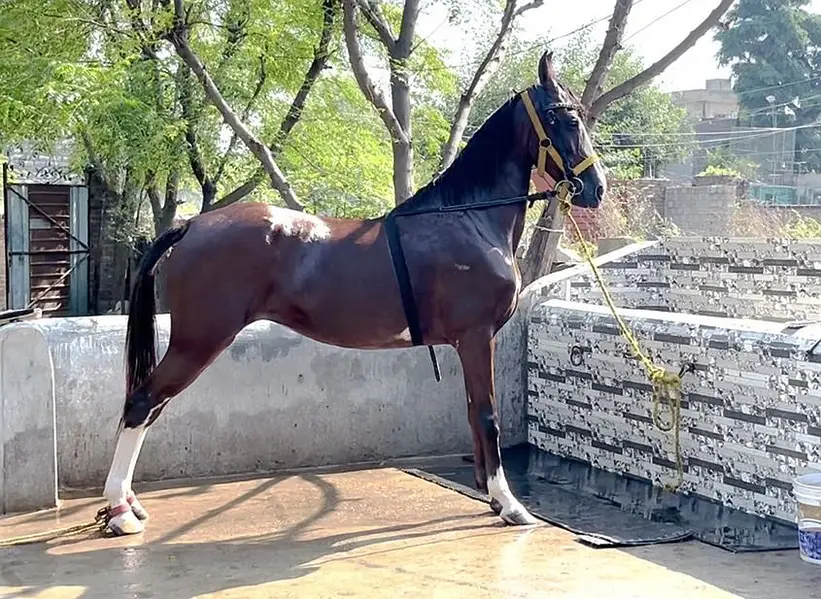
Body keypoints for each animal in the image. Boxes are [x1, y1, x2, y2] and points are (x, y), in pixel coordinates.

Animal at [102, 49, 607, 535]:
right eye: (566, 118)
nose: (596, 189)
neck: (468, 217)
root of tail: (190, 225)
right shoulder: (477, 337)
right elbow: (487, 417)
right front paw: (511, 505)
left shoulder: (470, 344)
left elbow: (472, 414)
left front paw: (492, 499)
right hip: (199, 340)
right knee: (142, 403)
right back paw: (121, 512)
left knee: (149, 407)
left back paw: (128, 504)